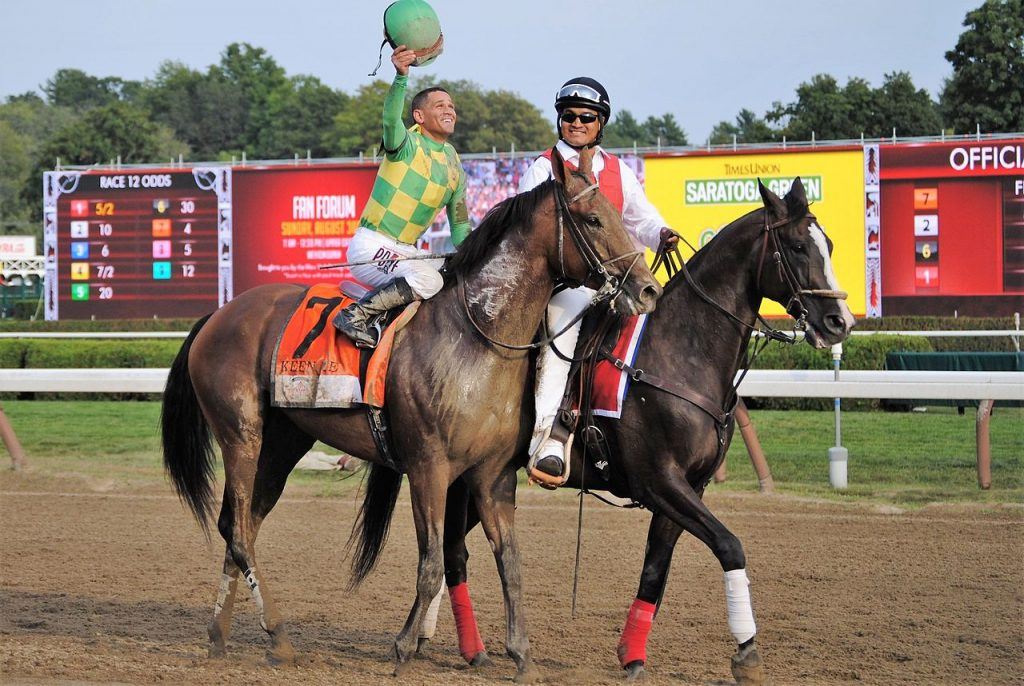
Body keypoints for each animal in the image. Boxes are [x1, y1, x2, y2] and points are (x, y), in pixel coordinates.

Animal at [156, 146, 659, 683]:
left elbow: (510, 562)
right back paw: (280, 636)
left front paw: (521, 654)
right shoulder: (428, 468)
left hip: (283, 442)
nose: (648, 289)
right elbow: (432, 562)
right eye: (593, 218)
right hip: (242, 435)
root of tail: (218, 315)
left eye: (619, 214)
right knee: (240, 531)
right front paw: (402, 648)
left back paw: (220, 636)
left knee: (238, 525)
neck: (477, 337)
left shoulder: (493, 475)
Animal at [399, 176, 856, 683]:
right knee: (451, 550)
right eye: (796, 246)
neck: (679, 352)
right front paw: (747, 652)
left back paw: (449, 641)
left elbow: (656, 569)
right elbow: (730, 546)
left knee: (452, 549)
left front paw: (632, 654)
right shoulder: (659, 481)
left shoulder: (689, 487)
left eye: (829, 245)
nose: (839, 322)